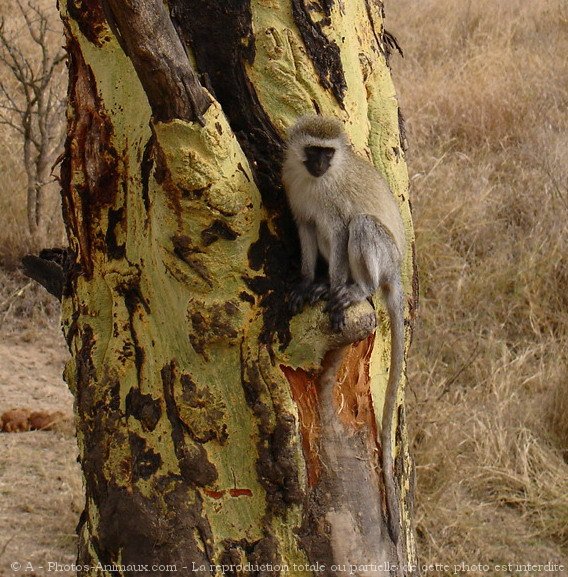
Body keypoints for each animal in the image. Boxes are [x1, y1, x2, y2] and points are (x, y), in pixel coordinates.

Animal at [282, 113, 406, 544]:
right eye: (313, 151)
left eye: (328, 153)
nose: (320, 165)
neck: (315, 180)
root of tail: (396, 274)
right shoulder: (296, 193)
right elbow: (305, 226)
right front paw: (307, 281)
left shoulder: (332, 208)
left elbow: (337, 231)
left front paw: (332, 288)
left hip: (384, 258)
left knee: (361, 225)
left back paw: (355, 289)